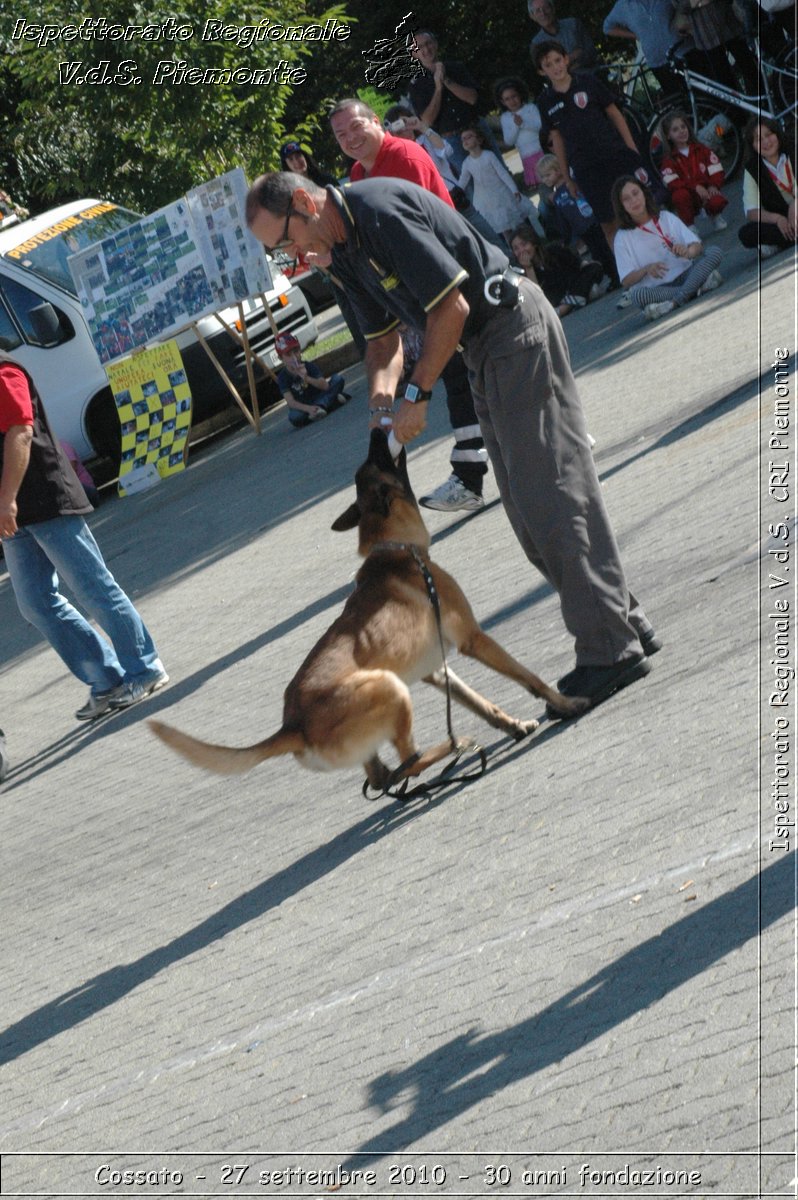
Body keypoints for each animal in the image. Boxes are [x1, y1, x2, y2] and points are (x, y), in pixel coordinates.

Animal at [151, 429, 585, 787]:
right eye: (376, 459)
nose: (378, 428)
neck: (394, 548)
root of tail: (294, 724)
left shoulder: (436, 670)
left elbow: (482, 703)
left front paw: (513, 725)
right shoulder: (474, 639)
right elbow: (530, 678)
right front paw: (565, 704)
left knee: (384, 777)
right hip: (391, 688)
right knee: (408, 761)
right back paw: (452, 747)